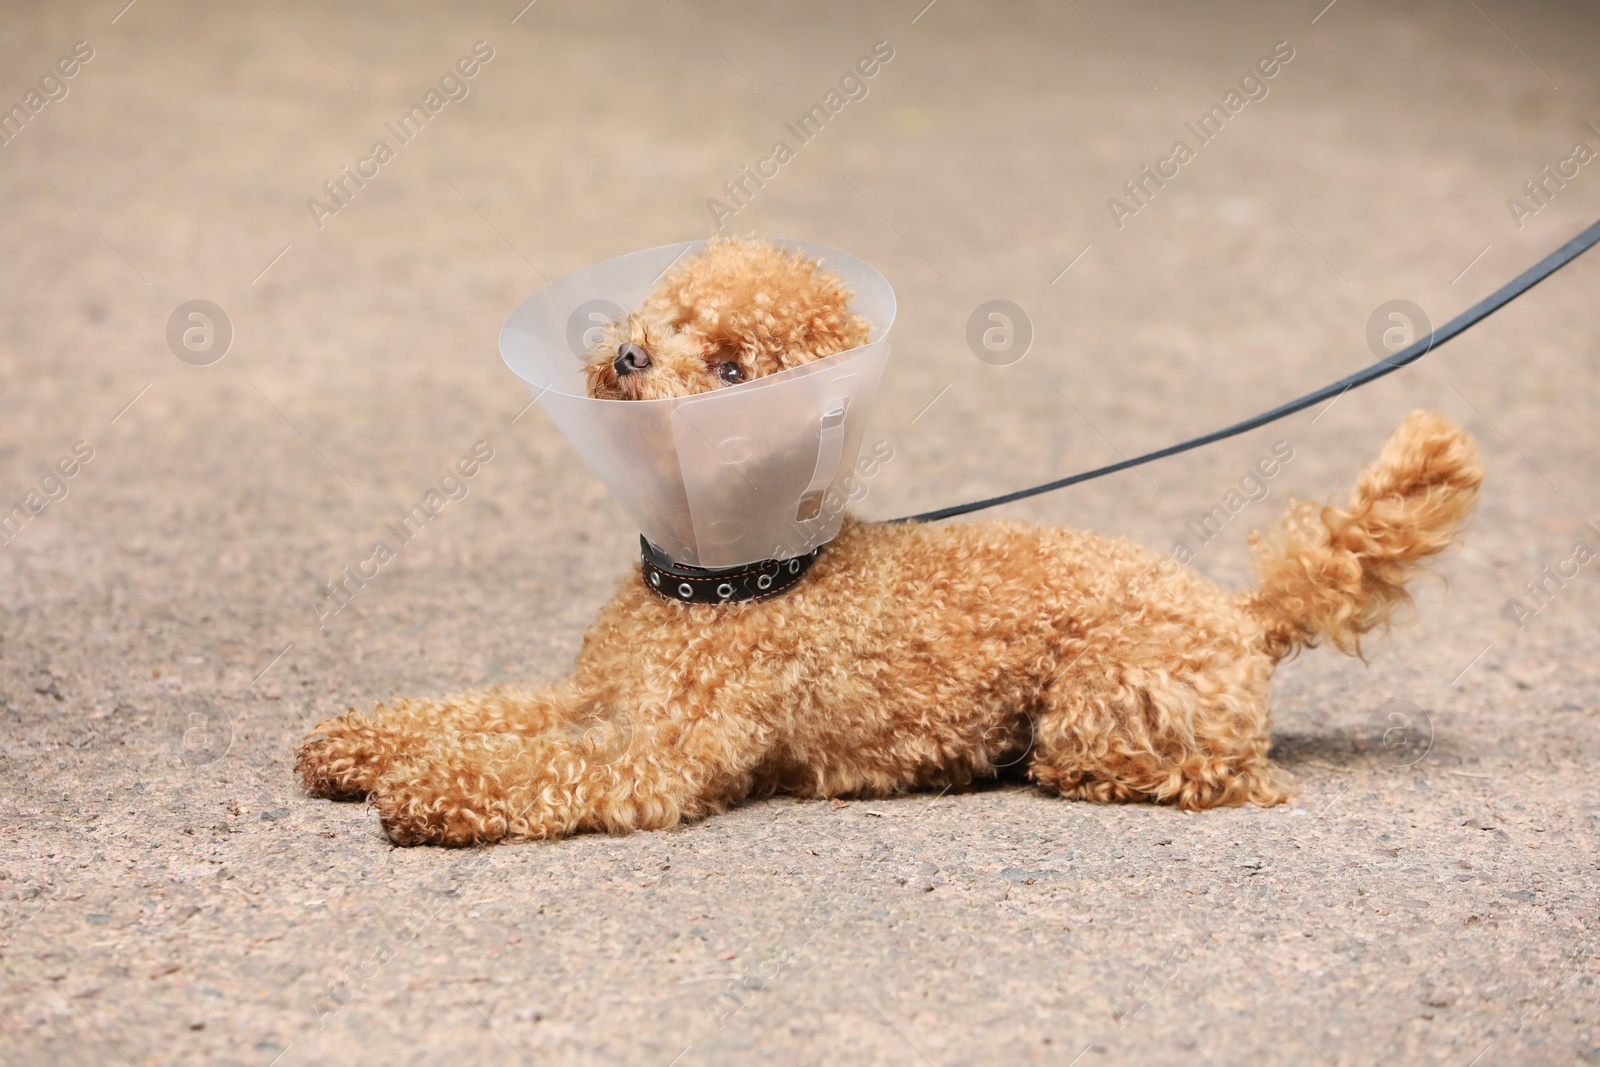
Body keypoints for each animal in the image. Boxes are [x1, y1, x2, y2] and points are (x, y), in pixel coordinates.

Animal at [294, 238, 1478, 844]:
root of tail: (1240, 612)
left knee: (1213, 777)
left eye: (731, 369)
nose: (628, 356)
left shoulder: (660, 752)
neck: (726, 577)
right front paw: (363, 742)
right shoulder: (594, 692)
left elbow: (533, 766)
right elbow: (481, 711)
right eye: (669, 315)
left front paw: (428, 788)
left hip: (1104, 703)